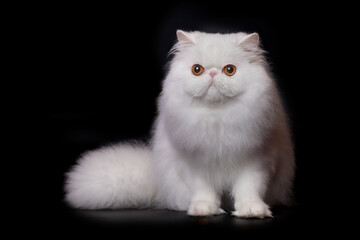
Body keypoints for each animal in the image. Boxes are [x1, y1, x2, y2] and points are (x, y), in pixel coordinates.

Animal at [64, 30, 296, 218]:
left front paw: (252, 211)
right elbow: (204, 191)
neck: (216, 119)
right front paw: (204, 210)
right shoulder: (194, 163)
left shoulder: (256, 161)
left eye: (229, 70)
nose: (212, 73)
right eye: (197, 70)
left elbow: (248, 190)